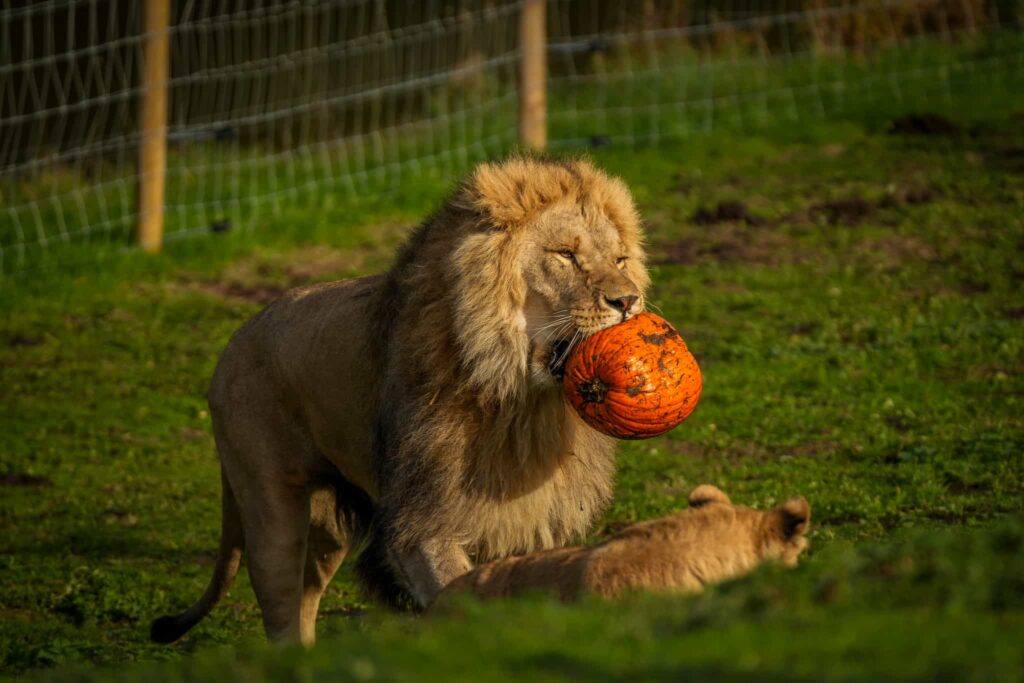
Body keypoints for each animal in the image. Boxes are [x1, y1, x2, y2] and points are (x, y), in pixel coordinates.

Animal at [151, 157, 651, 646]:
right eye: (565, 254)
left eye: (620, 259)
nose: (628, 300)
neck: (516, 401)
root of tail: (236, 339)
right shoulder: (422, 518)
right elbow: (458, 591)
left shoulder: (535, 519)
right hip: (271, 511)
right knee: (281, 613)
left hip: (327, 529)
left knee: (306, 602)